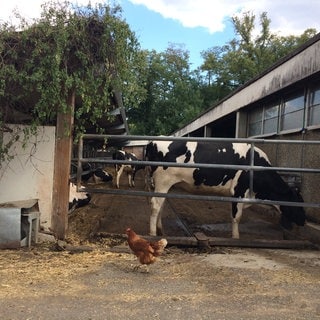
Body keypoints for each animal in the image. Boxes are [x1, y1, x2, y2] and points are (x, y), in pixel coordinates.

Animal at [145, 141, 304, 239]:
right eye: (297, 203)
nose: (303, 222)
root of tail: (153, 142)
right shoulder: (238, 191)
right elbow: (236, 217)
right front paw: (236, 237)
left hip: (163, 186)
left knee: (161, 205)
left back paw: (161, 230)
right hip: (163, 182)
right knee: (155, 205)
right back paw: (153, 233)